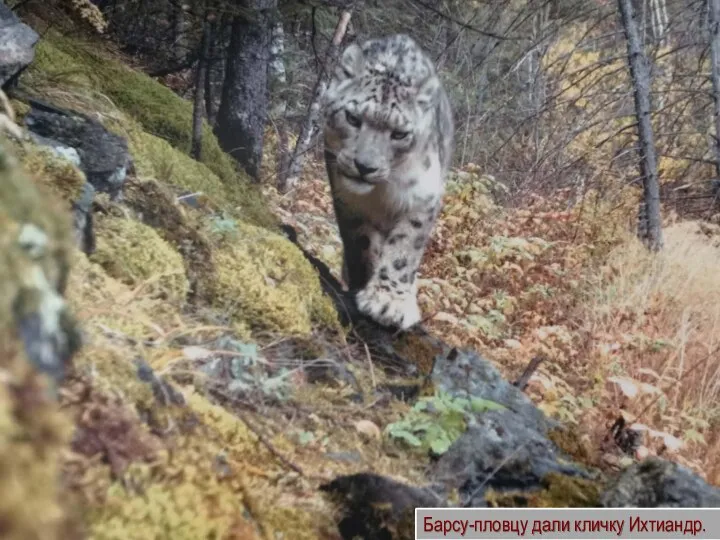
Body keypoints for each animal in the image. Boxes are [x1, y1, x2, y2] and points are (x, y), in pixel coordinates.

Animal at [324, 34, 452, 330]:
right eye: (352, 118)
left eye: (399, 134)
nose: (364, 166)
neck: (380, 193)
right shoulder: (348, 202)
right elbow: (363, 242)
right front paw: (368, 285)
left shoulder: (423, 197)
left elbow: (405, 249)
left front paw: (389, 302)